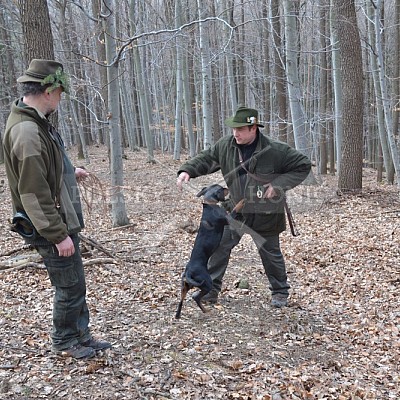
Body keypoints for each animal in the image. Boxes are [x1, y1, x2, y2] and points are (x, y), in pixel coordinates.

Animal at [175, 184, 244, 318]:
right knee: (196, 297)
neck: (209, 204)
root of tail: (188, 273)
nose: (227, 187)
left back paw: (178, 315)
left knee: (181, 300)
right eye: (222, 189)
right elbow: (236, 207)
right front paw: (243, 200)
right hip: (207, 282)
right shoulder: (229, 218)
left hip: (185, 286)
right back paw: (206, 311)